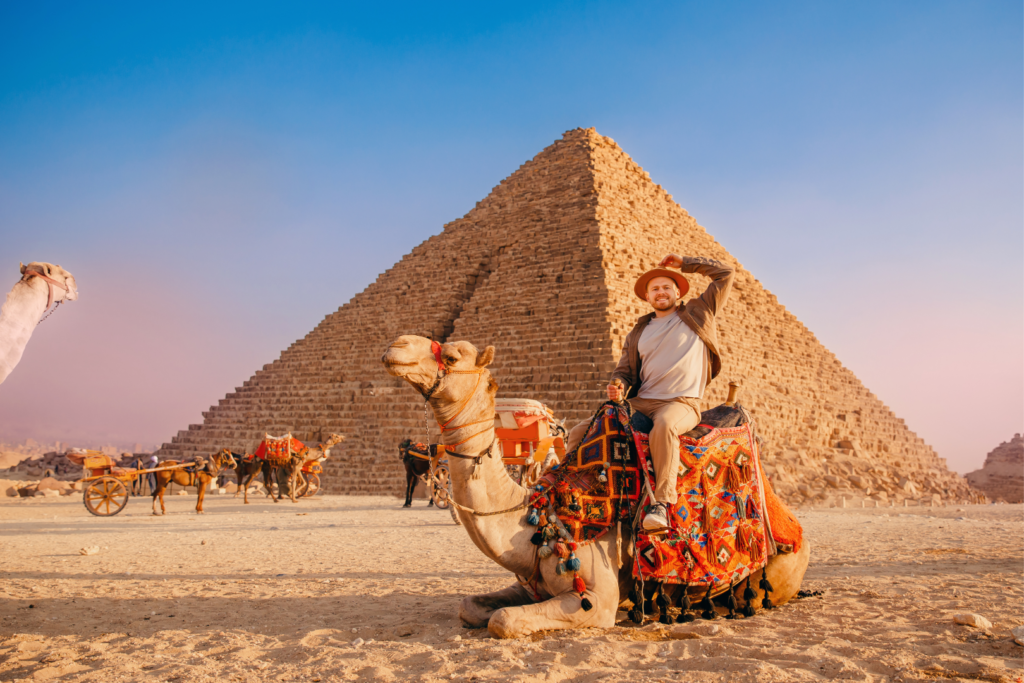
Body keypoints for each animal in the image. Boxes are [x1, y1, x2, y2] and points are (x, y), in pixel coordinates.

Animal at [382, 335, 810, 639]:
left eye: (453, 357)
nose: (396, 345)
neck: (536, 515)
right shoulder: (531, 584)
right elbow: (469, 606)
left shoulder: (595, 599)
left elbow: (502, 621)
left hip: (773, 575)